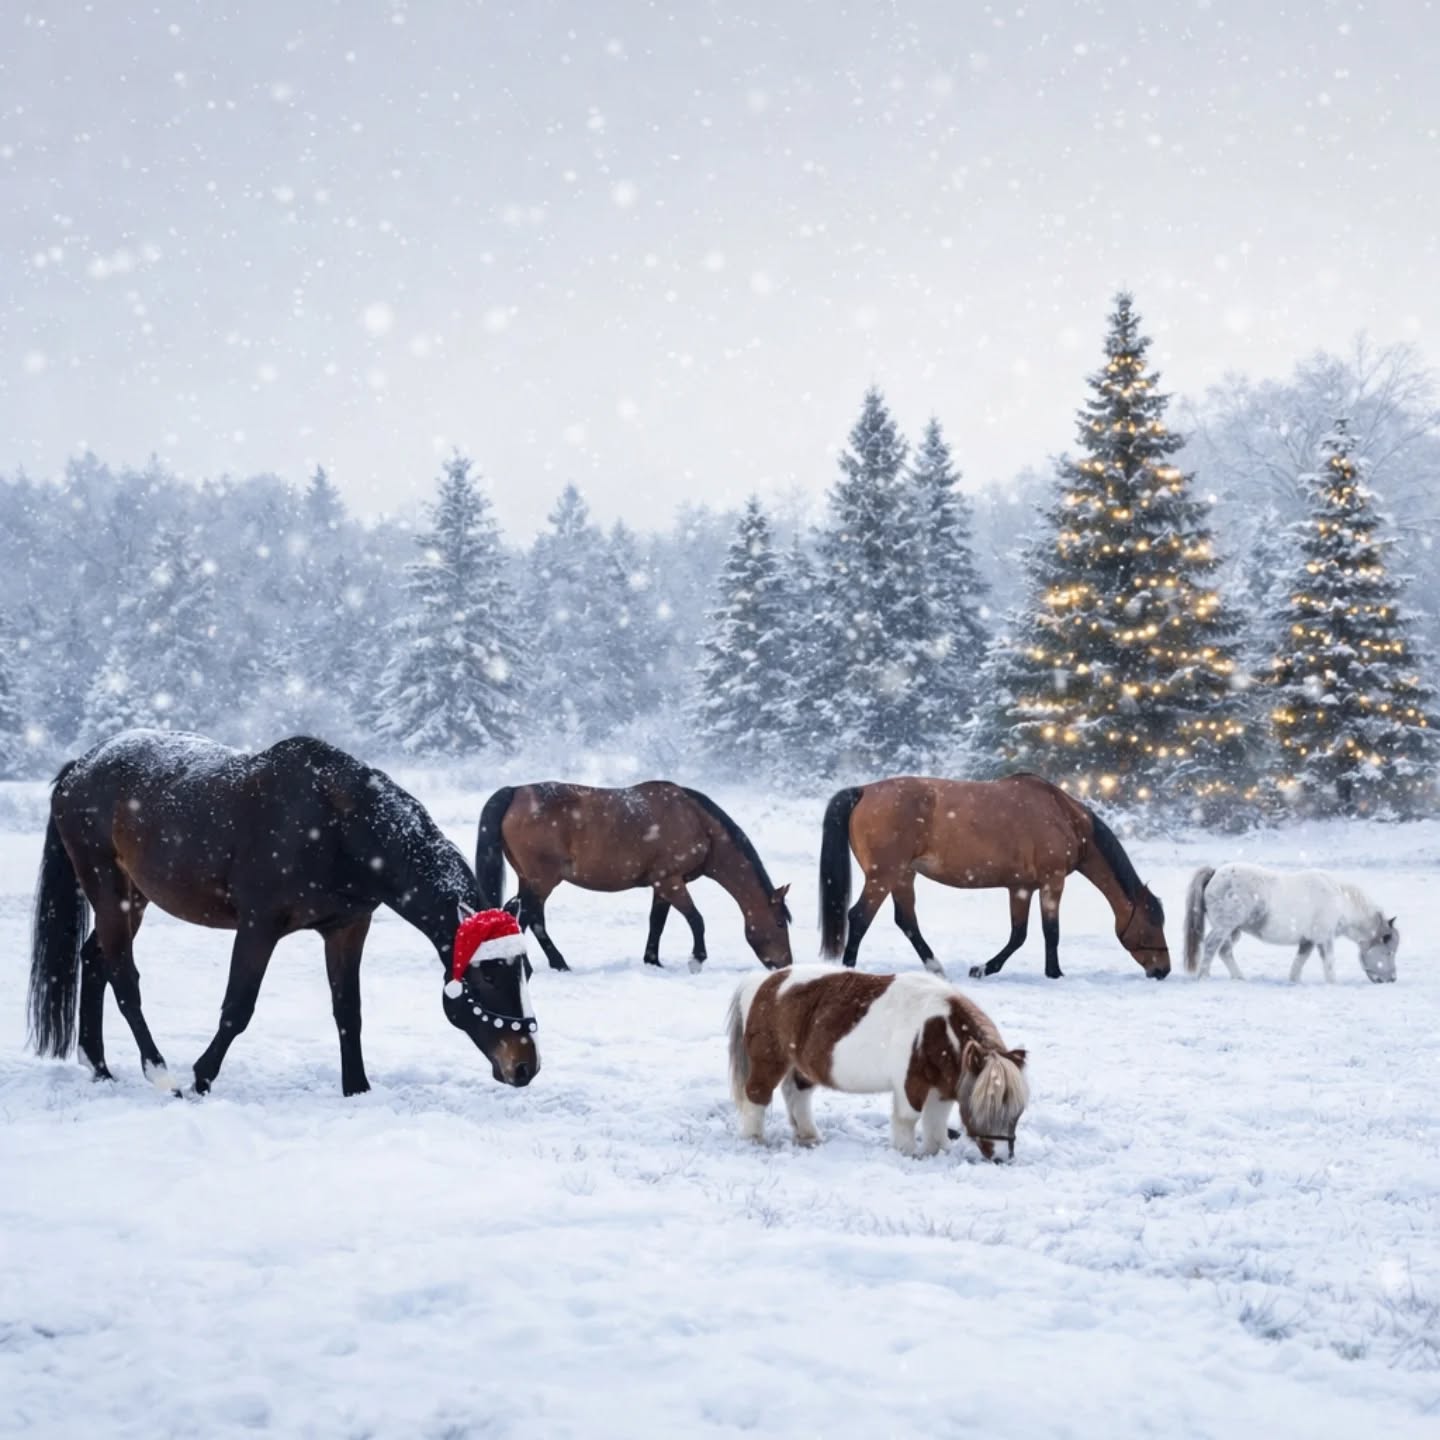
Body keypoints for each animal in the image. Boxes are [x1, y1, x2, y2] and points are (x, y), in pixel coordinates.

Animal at [28, 730, 540, 1096]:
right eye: (488, 973)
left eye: (527, 971)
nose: (525, 1066)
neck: (339, 827)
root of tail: (80, 767)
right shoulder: (258, 927)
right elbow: (237, 1008)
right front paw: (201, 1077)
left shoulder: (348, 928)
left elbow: (347, 1010)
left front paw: (357, 1087)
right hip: (108, 890)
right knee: (122, 976)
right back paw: (160, 1073)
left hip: (134, 898)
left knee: (95, 961)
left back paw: (98, 1065)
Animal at [475, 781, 793, 972]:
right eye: (779, 922)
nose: (786, 965)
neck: (698, 822)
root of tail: (515, 791)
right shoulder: (671, 880)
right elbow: (696, 919)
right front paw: (697, 959)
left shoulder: (661, 885)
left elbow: (657, 923)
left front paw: (652, 961)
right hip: (542, 880)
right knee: (523, 917)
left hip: (530, 880)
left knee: (526, 917)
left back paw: (556, 963)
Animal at [727, 967, 1029, 1160]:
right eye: (983, 1108)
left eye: (1017, 1112)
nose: (1001, 1157)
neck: (936, 1028)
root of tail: (765, 981)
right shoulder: (911, 1084)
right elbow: (909, 1119)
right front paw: (907, 1153)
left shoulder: (943, 1088)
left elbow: (936, 1123)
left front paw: (937, 1152)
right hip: (769, 1060)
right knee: (756, 1095)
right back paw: (755, 1139)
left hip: (801, 1066)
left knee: (796, 1094)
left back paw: (809, 1137)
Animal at [818, 773, 1171, 980]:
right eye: (1151, 923)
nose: (1163, 969)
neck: (1064, 816)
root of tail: (864, 791)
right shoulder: (1052, 881)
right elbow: (1050, 932)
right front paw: (1054, 973)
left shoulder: (1021, 887)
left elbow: (1019, 934)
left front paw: (984, 968)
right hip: (884, 876)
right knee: (859, 916)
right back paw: (848, 969)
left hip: (903, 876)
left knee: (906, 921)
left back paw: (935, 967)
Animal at [1184, 863, 1399, 984]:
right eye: (1389, 951)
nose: (1392, 979)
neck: (1341, 901)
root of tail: (1215, 873)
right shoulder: (1324, 939)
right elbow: (1329, 963)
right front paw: (1332, 983)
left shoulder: (1308, 941)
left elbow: (1299, 962)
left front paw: (1294, 981)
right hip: (1224, 927)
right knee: (1211, 945)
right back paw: (1204, 977)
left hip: (1233, 931)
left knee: (1224, 950)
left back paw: (1239, 978)